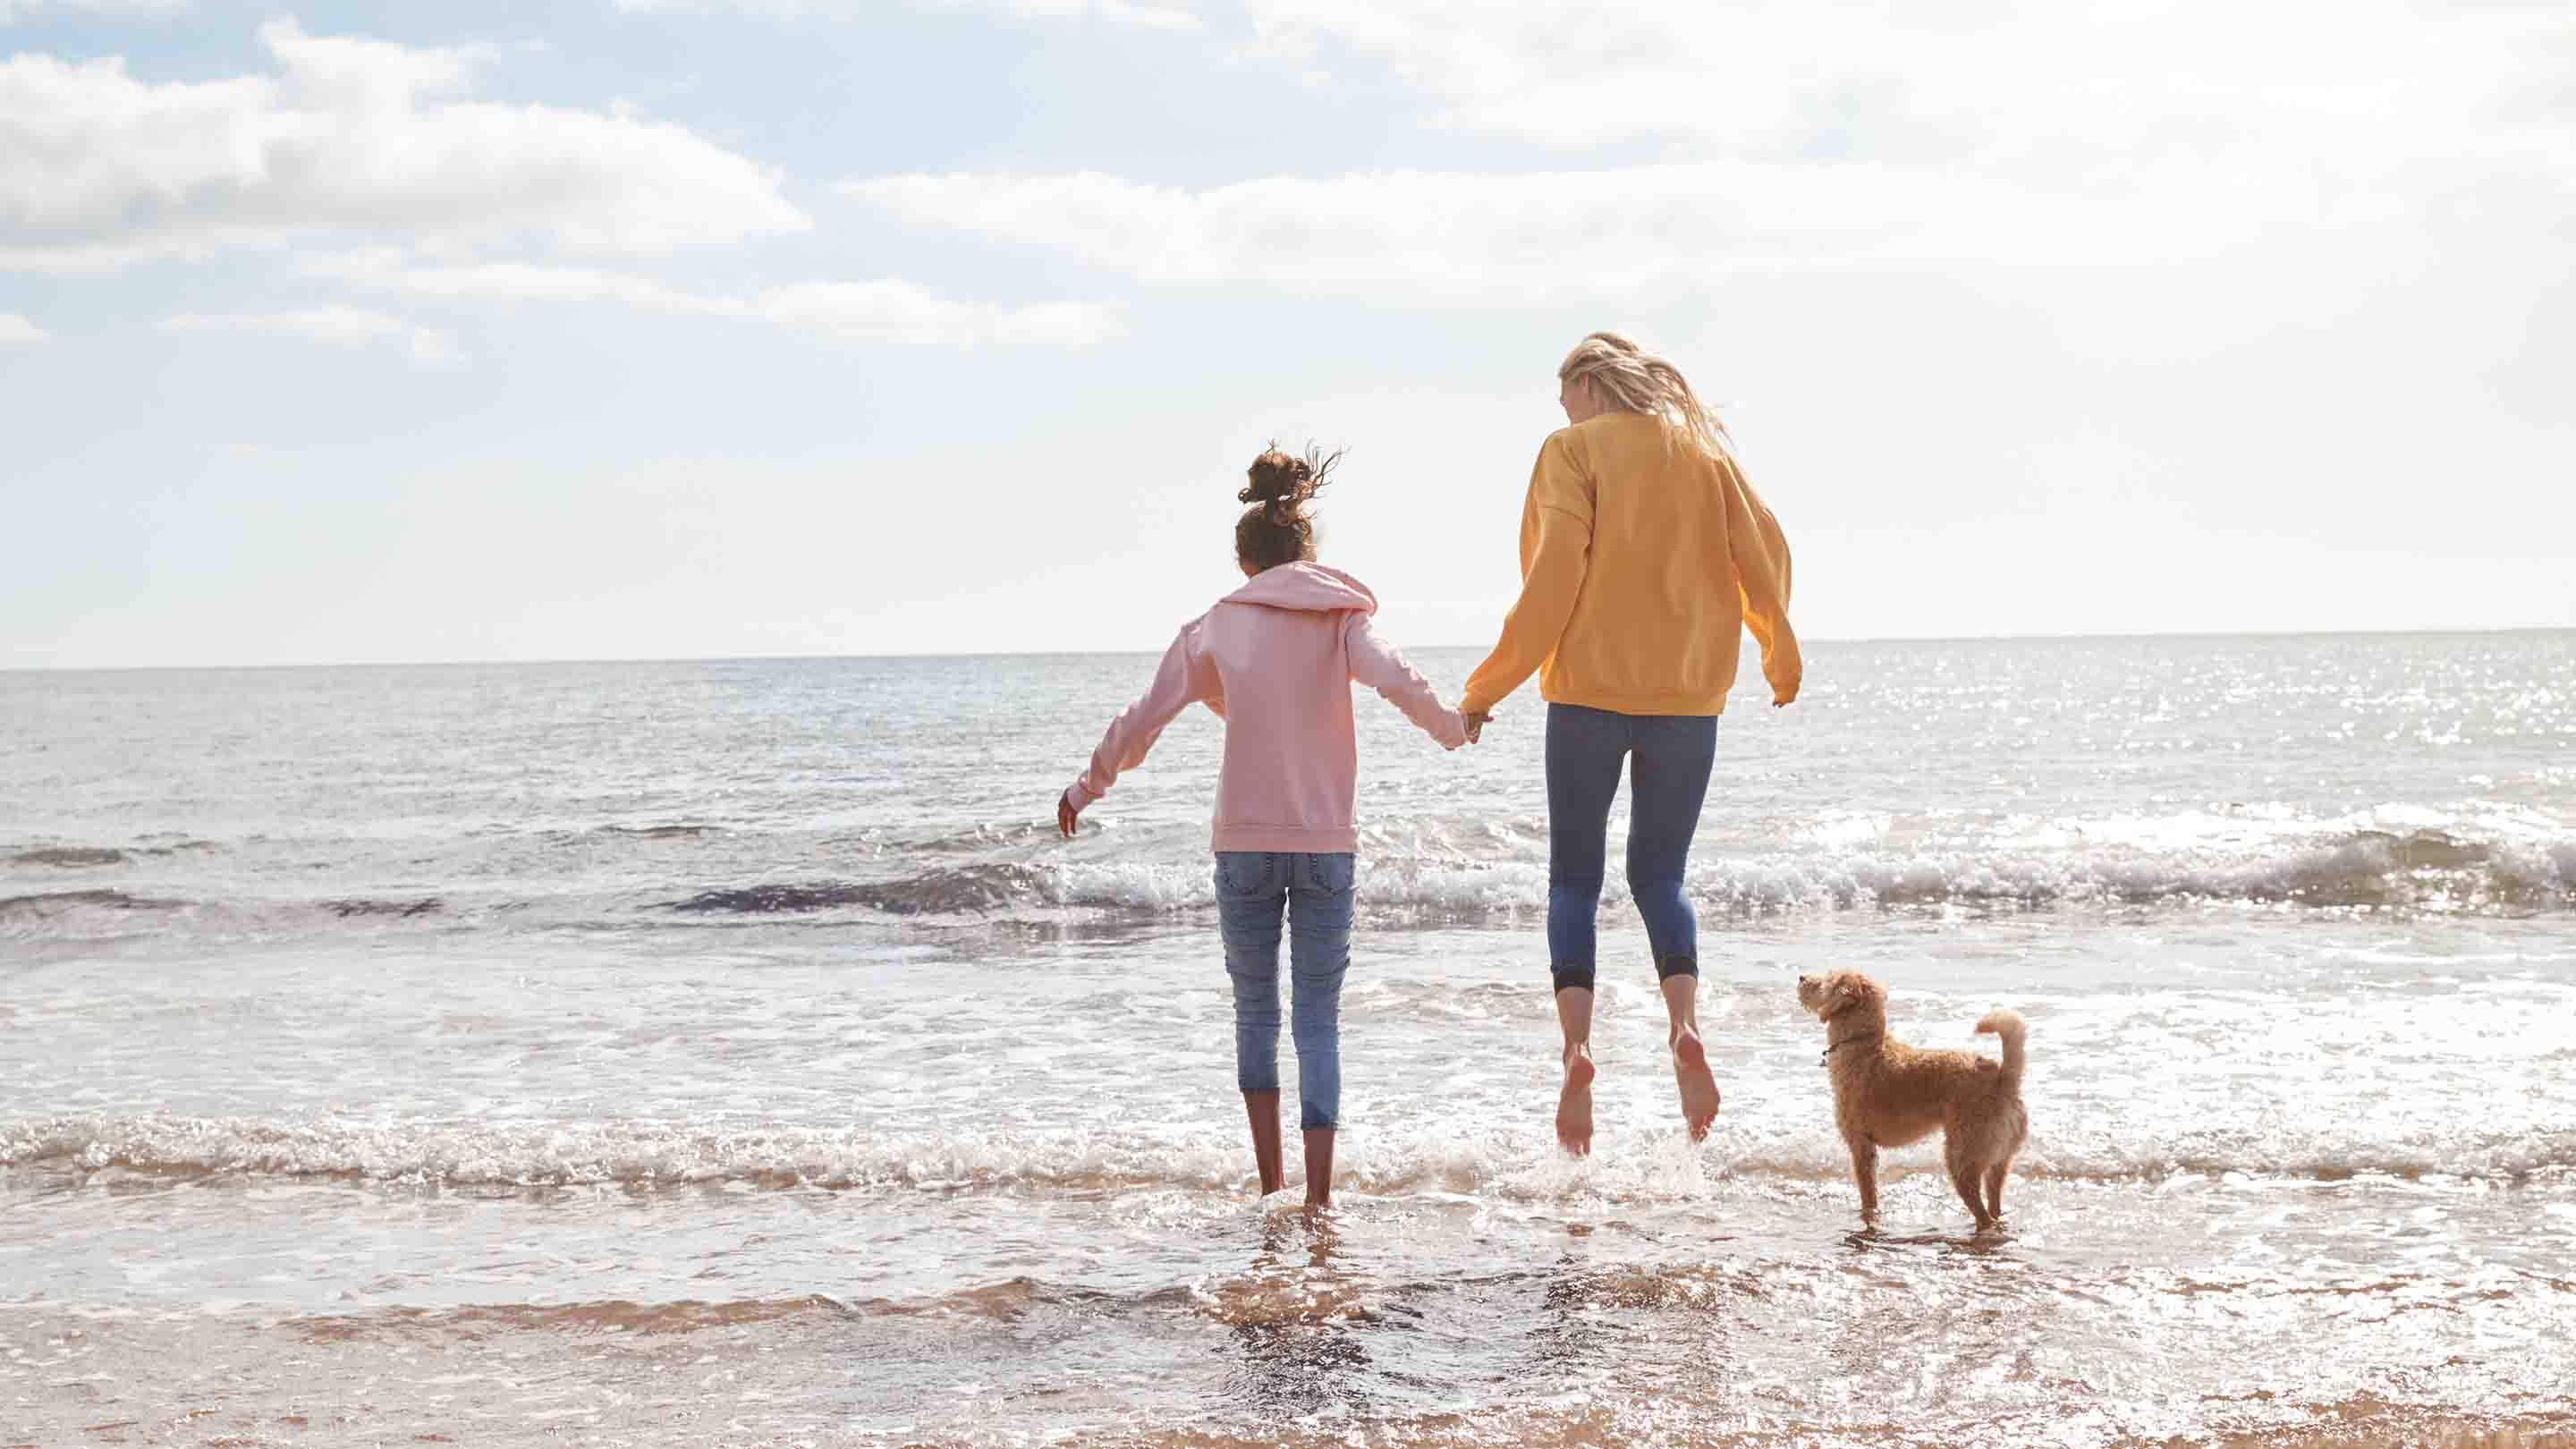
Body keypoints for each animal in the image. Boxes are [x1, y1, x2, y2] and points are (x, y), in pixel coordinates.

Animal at [1792, 974, 2029, 1222]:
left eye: (1826, 980)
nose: (1801, 977)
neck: (1862, 1043)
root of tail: (2004, 1080)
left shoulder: (1860, 1144)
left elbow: (1868, 1196)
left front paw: (1869, 1217)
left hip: (1963, 1157)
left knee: (1983, 1216)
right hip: (1999, 1162)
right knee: (1994, 1205)